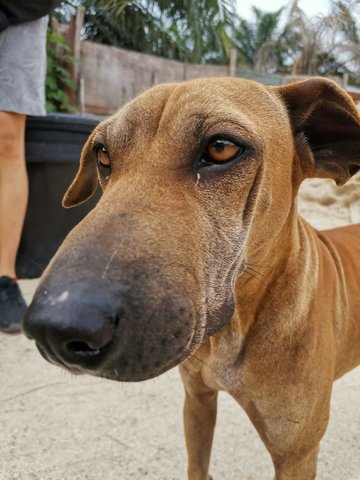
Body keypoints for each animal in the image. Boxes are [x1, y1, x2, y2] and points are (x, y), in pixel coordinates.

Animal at [22, 79, 360, 480]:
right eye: (102, 156)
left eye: (221, 148)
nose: (54, 327)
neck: (235, 331)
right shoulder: (197, 401)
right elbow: (197, 463)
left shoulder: (296, 454)